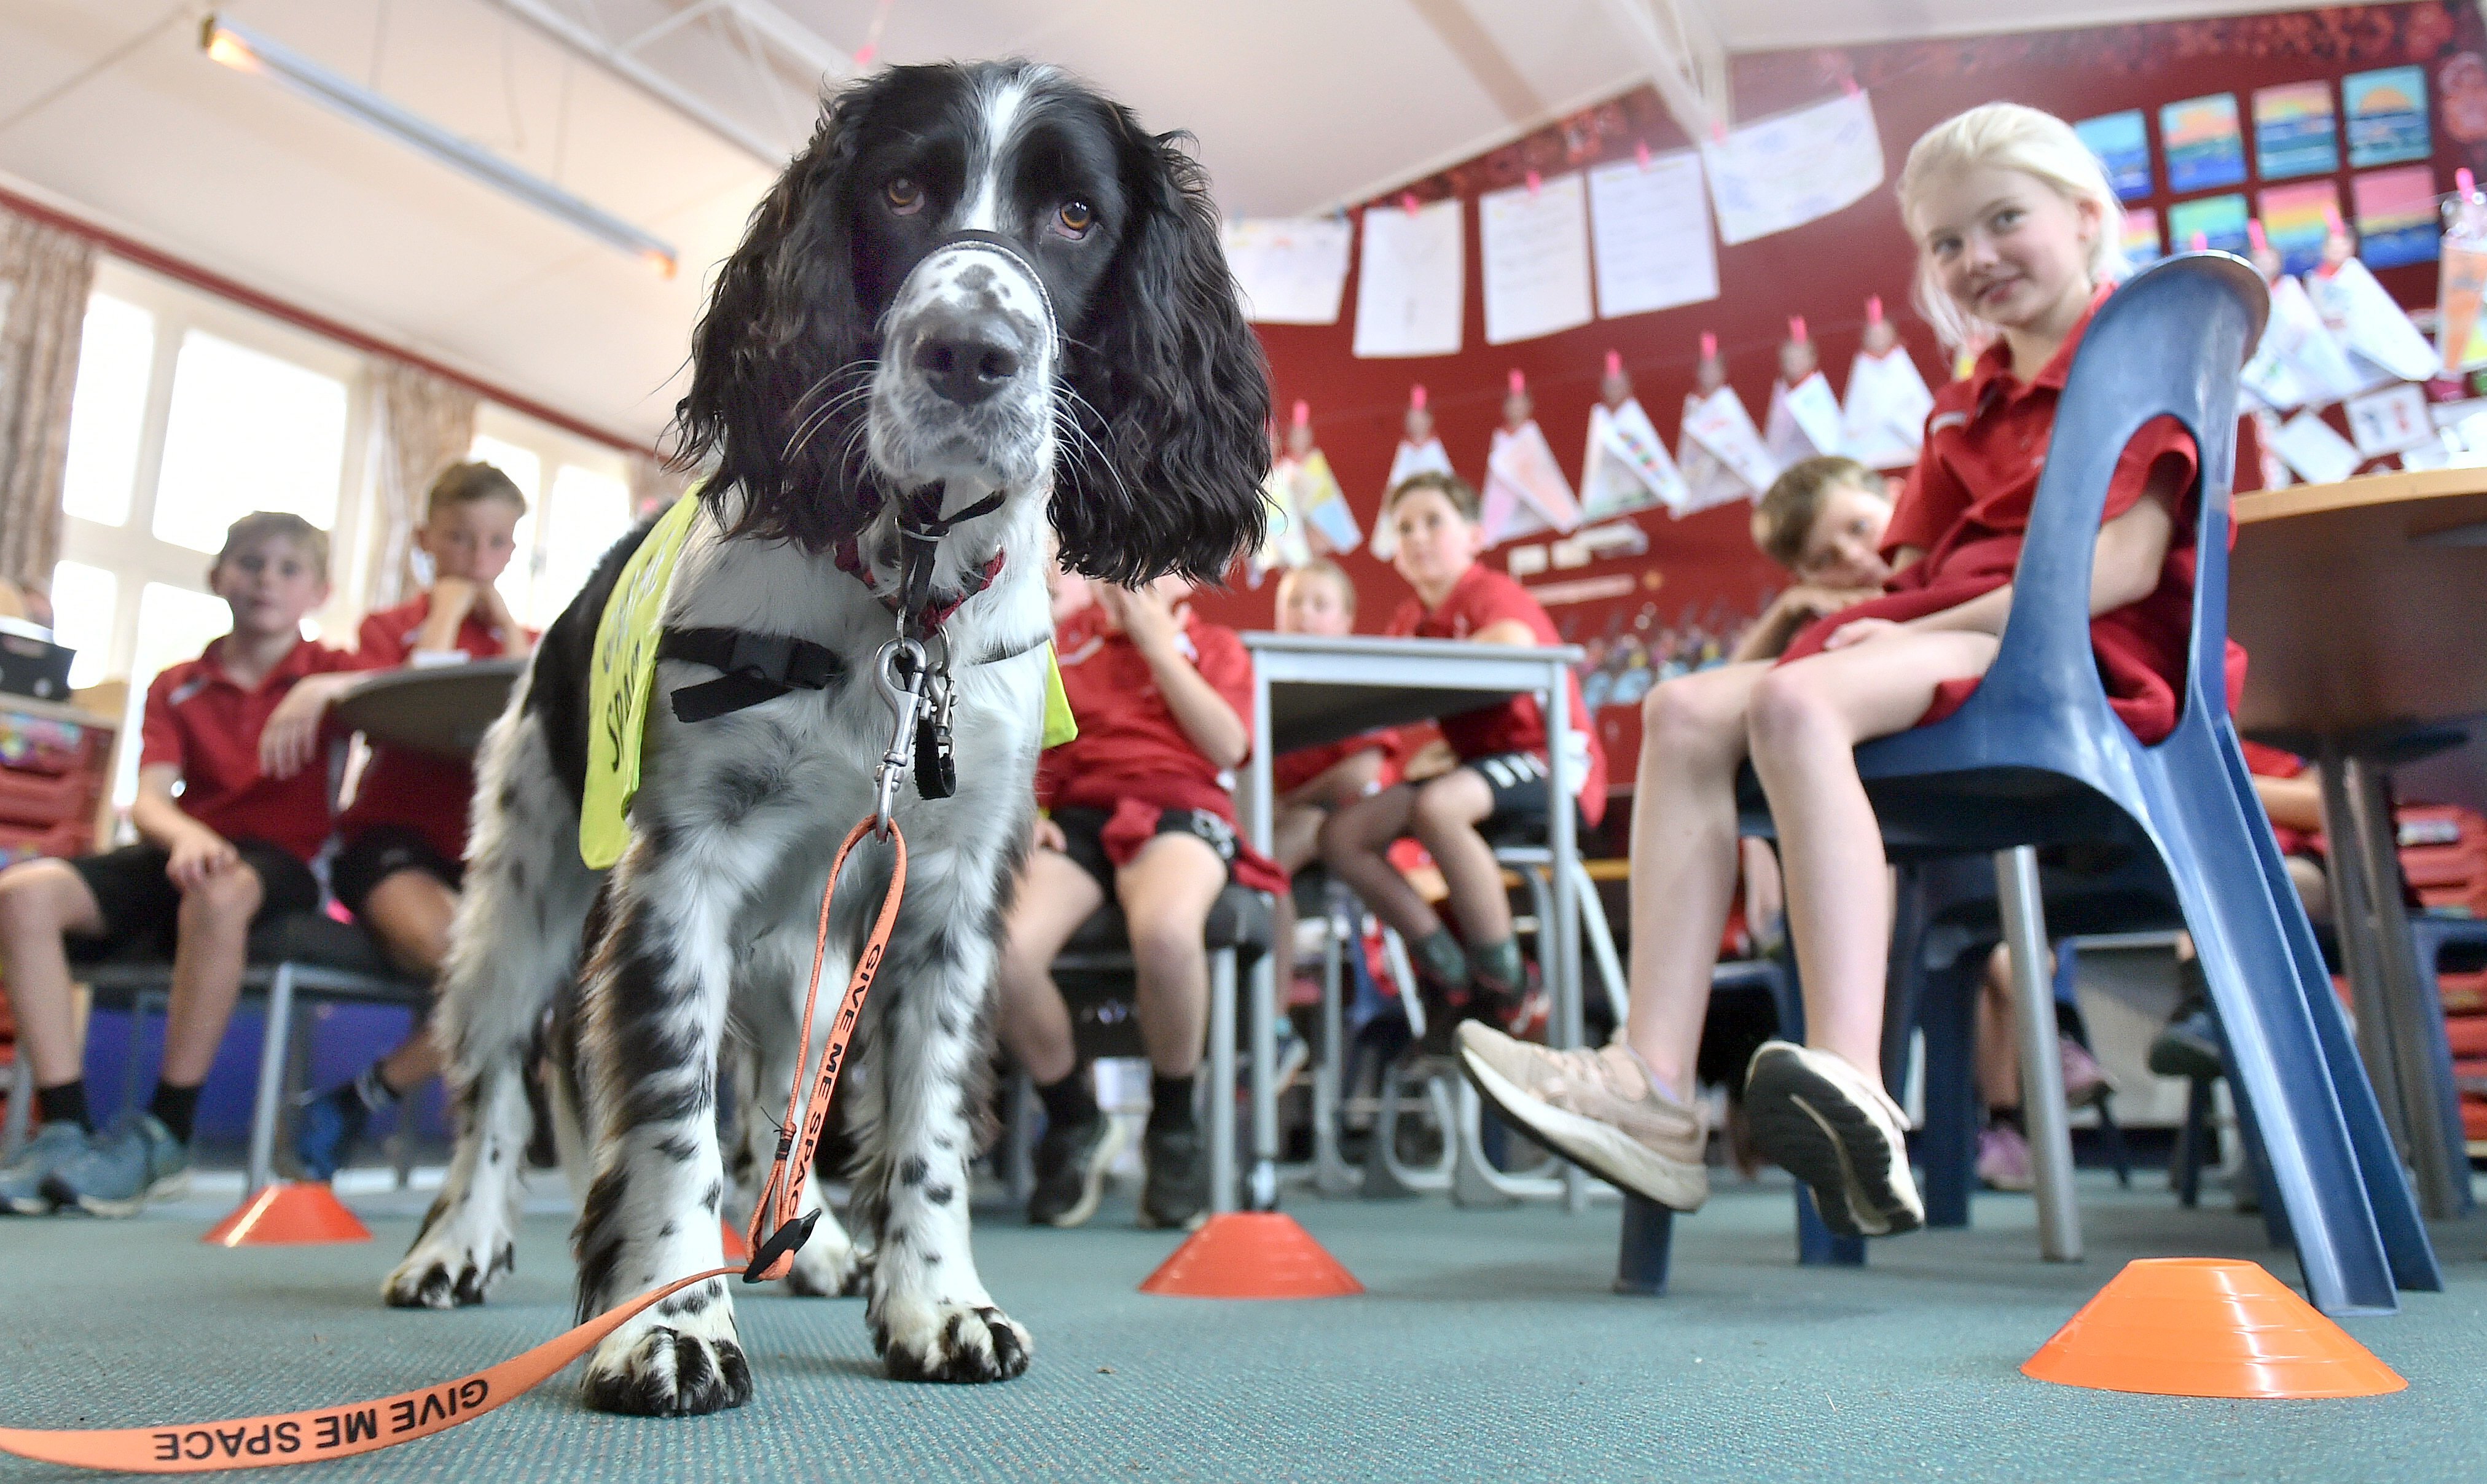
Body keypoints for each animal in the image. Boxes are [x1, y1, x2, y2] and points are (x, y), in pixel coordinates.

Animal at [378, 63, 1273, 1412]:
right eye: (899, 189)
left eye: (1076, 215)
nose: (970, 355)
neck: (903, 602)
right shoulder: (680, 877)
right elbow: (668, 1110)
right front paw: (669, 1318)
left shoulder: (945, 896)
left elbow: (924, 1124)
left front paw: (936, 1301)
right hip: (520, 901)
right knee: (495, 1080)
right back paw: (456, 1245)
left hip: (799, 947)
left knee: (775, 1103)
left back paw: (819, 1247)